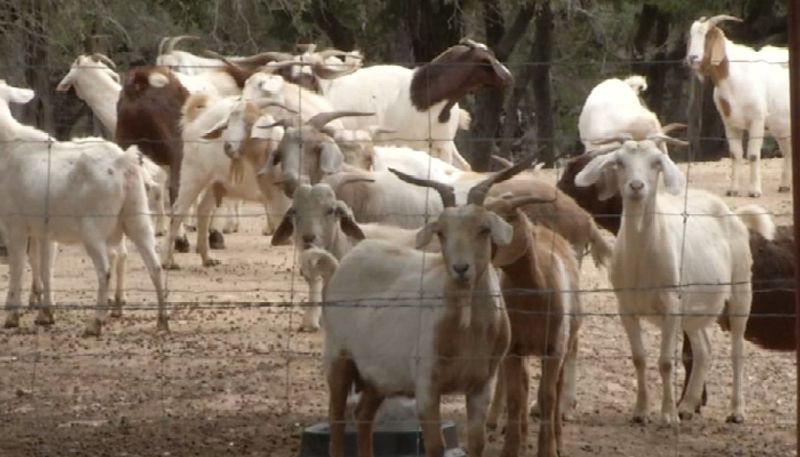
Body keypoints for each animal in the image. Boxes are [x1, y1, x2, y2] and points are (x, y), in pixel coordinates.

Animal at [0, 79, 166, 334]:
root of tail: (123, 162)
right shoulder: (45, 230)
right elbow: (46, 267)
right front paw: (46, 314)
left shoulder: (15, 222)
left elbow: (17, 266)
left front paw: (12, 316)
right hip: (137, 216)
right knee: (155, 265)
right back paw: (162, 320)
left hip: (93, 228)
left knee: (105, 270)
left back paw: (96, 322)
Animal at [576, 134, 776, 422]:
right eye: (620, 162)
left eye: (656, 162)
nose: (636, 186)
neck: (642, 258)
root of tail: (735, 215)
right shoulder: (626, 307)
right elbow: (639, 358)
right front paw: (641, 412)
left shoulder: (670, 304)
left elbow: (666, 362)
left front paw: (667, 415)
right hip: (694, 309)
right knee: (704, 350)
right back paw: (688, 406)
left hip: (740, 292)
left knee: (737, 350)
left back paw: (736, 411)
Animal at [684, 13, 792, 196]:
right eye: (692, 36)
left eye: (708, 36)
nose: (693, 58)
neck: (735, 76)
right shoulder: (730, 123)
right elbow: (735, 154)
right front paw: (733, 190)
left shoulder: (757, 121)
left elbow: (753, 155)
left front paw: (754, 191)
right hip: (780, 126)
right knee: (788, 151)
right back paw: (785, 186)